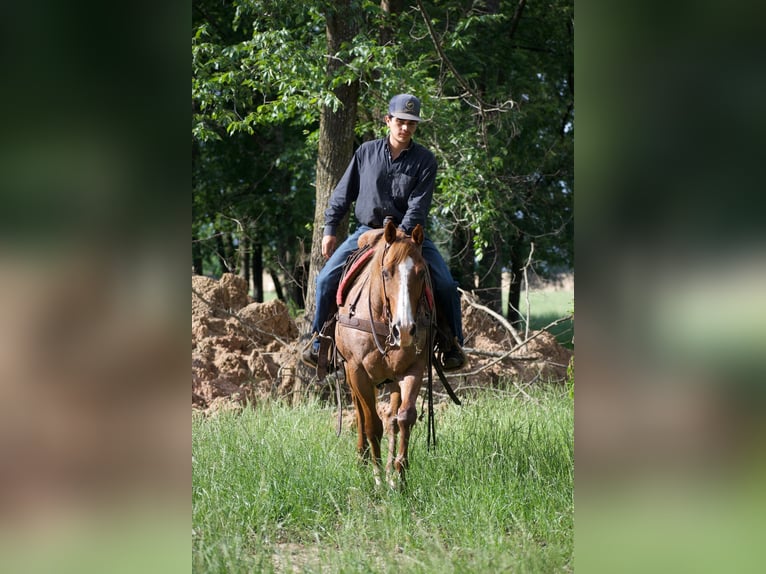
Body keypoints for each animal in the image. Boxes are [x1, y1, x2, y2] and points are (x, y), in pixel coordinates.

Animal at [333, 219, 433, 487]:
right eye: (386, 272)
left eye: (421, 272)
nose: (405, 329)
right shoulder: (357, 372)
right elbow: (371, 425)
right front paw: (377, 478)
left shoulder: (414, 369)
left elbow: (405, 417)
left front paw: (398, 475)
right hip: (351, 375)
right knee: (361, 414)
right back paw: (363, 459)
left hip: (392, 380)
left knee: (393, 420)